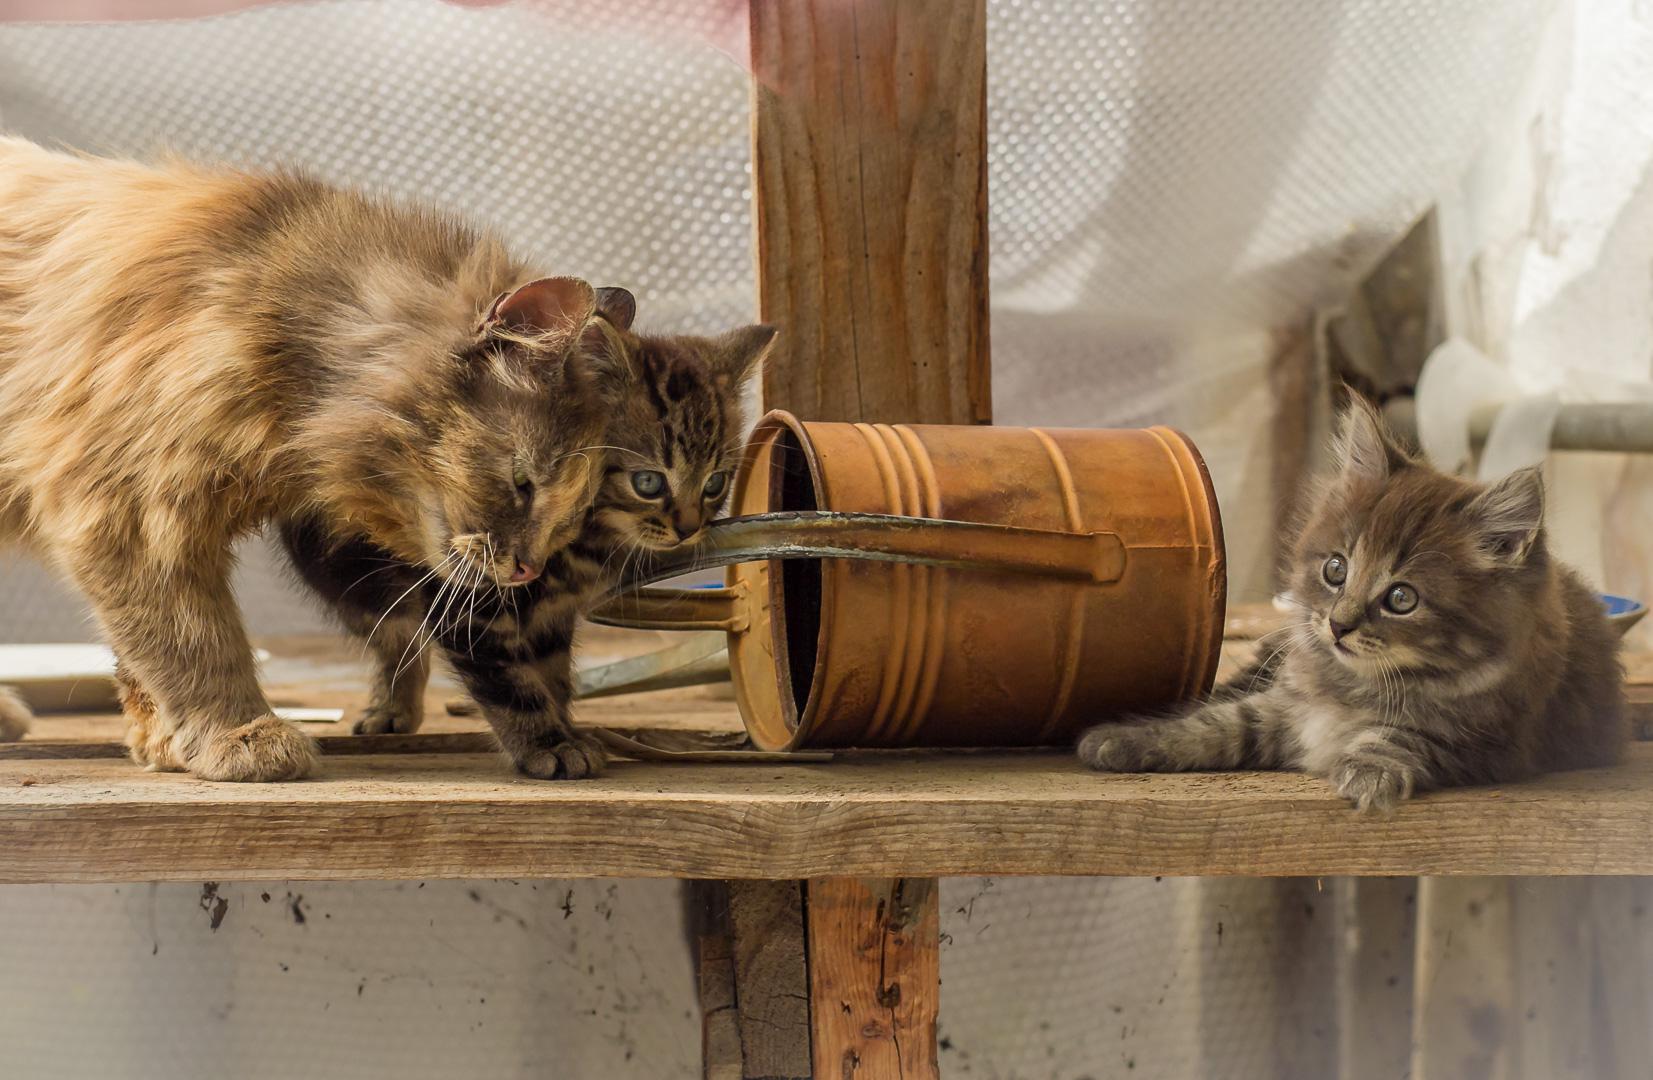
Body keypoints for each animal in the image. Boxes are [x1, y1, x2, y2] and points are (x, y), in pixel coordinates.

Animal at [0, 136, 615, 780]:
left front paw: (161, 743)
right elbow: (195, 645)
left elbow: (142, 661)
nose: (528, 569)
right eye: (523, 483)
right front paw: (237, 734)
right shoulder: (132, 516)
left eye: (569, 519)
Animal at [277, 293, 774, 779]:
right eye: (648, 482)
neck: (587, 545)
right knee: (390, 630)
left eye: (715, 483)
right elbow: (508, 680)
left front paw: (564, 728)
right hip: (339, 567)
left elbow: (551, 674)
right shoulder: (471, 598)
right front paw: (546, 744)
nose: (688, 530)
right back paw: (390, 705)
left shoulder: (553, 614)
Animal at [1077, 399, 1626, 810]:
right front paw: (1126, 740)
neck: (1358, 686)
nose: (1338, 626)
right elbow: (1217, 724)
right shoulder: (1282, 705)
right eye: (1335, 570)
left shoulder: (1484, 744)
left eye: (1402, 598)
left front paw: (1368, 773)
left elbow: (1398, 738)